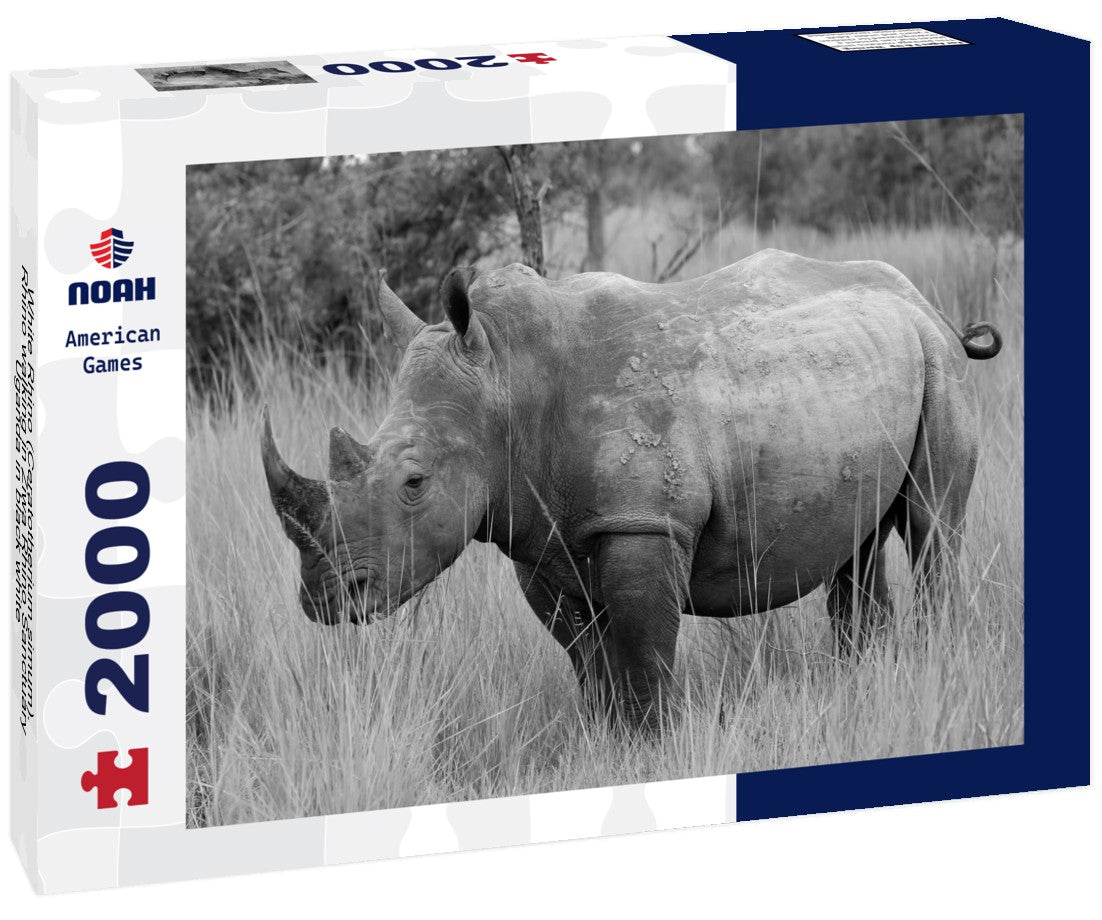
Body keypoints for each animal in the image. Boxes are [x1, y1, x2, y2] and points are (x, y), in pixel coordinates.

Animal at [262, 249, 1002, 729]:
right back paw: (862, 679)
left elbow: (643, 655)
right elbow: (588, 660)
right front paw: (605, 744)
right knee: (857, 546)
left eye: (414, 483)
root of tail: (929, 306)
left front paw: (654, 746)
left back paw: (934, 665)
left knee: (934, 525)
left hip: (937, 362)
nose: (325, 599)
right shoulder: (540, 536)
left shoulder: (642, 521)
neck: (507, 382)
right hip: (851, 374)